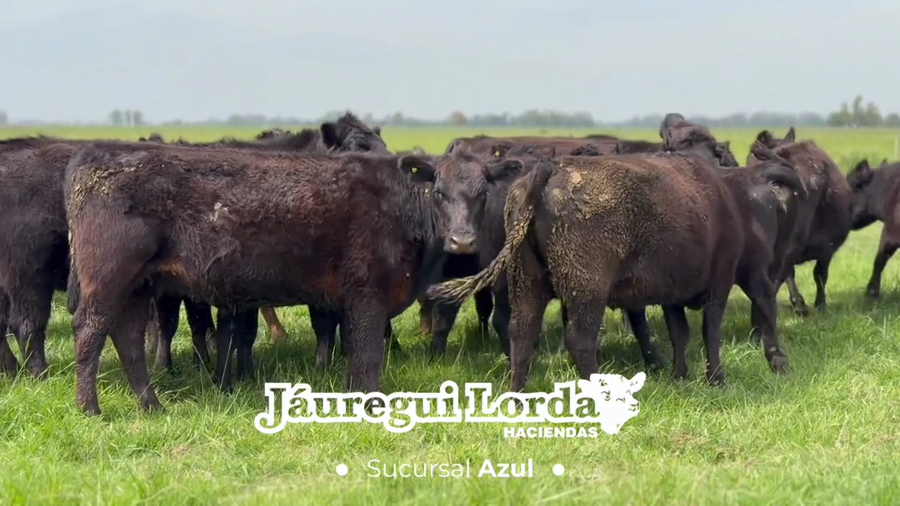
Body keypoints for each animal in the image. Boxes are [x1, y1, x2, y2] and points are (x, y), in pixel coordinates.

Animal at [426, 147, 794, 391]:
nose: (780, 362)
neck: (729, 202)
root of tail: (549, 171)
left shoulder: (672, 293)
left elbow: (680, 333)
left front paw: (679, 376)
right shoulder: (719, 282)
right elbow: (709, 332)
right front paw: (717, 379)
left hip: (527, 283)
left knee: (521, 333)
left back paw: (516, 395)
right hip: (586, 291)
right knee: (579, 340)